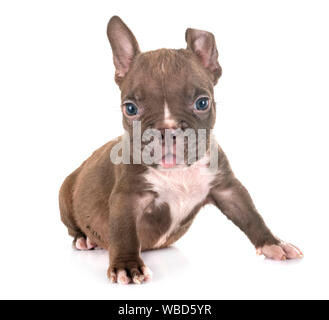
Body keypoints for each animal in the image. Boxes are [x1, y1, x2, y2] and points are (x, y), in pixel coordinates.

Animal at [59, 15, 302, 284]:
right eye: (130, 108)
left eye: (202, 103)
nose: (166, 130)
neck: (178, 173)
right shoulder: (128, 197)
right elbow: (124, 233)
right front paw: (126, 266)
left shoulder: (227, 189)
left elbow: (250, 215)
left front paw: (273, 243)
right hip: (65, 194)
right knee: (73, 227)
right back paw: (84, 238)